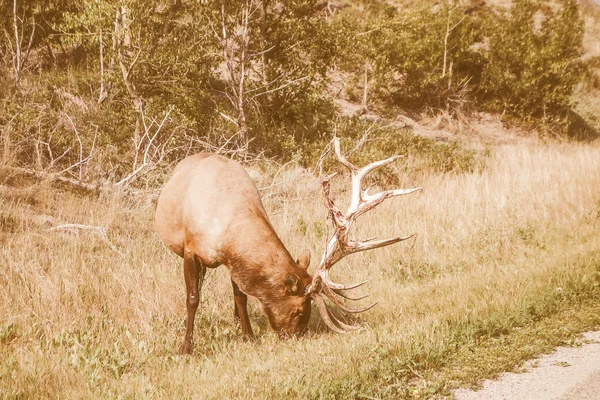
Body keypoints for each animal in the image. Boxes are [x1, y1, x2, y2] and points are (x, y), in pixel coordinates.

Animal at [156, 138, 422, 354]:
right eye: (298, 310)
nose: (297, 335)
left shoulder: (233, 260)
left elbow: (241, 295)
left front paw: (248, 335)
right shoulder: (190, 250)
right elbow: (192, 298)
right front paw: (186, 347)